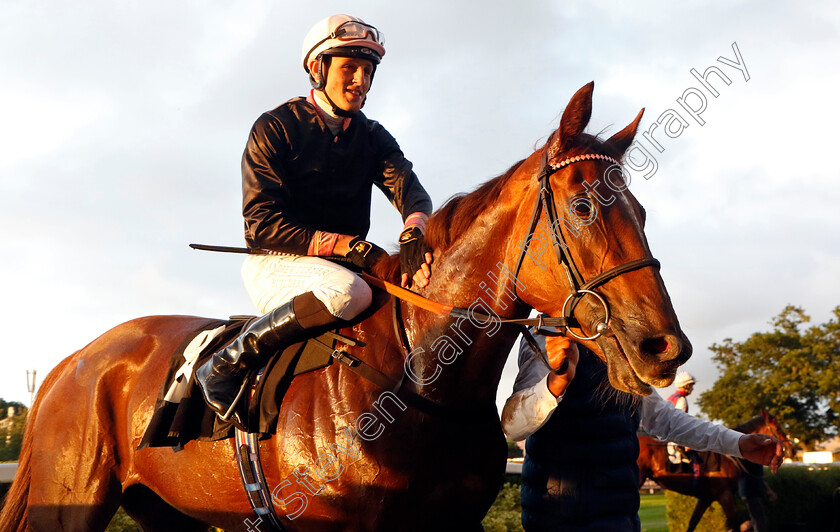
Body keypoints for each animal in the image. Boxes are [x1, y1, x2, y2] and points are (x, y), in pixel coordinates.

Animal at [3, 80, 692, 532]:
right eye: (583, 205)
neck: (418, 378)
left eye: (643, 211)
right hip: (70, 502)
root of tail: (70, 362)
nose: (666, 346)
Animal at [636, 410, 796, 528]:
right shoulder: (725, 495)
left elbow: (692, 523)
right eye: (778, 428)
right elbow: (734, 524)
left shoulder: (705, 498)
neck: (727, 456)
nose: (792, 449)